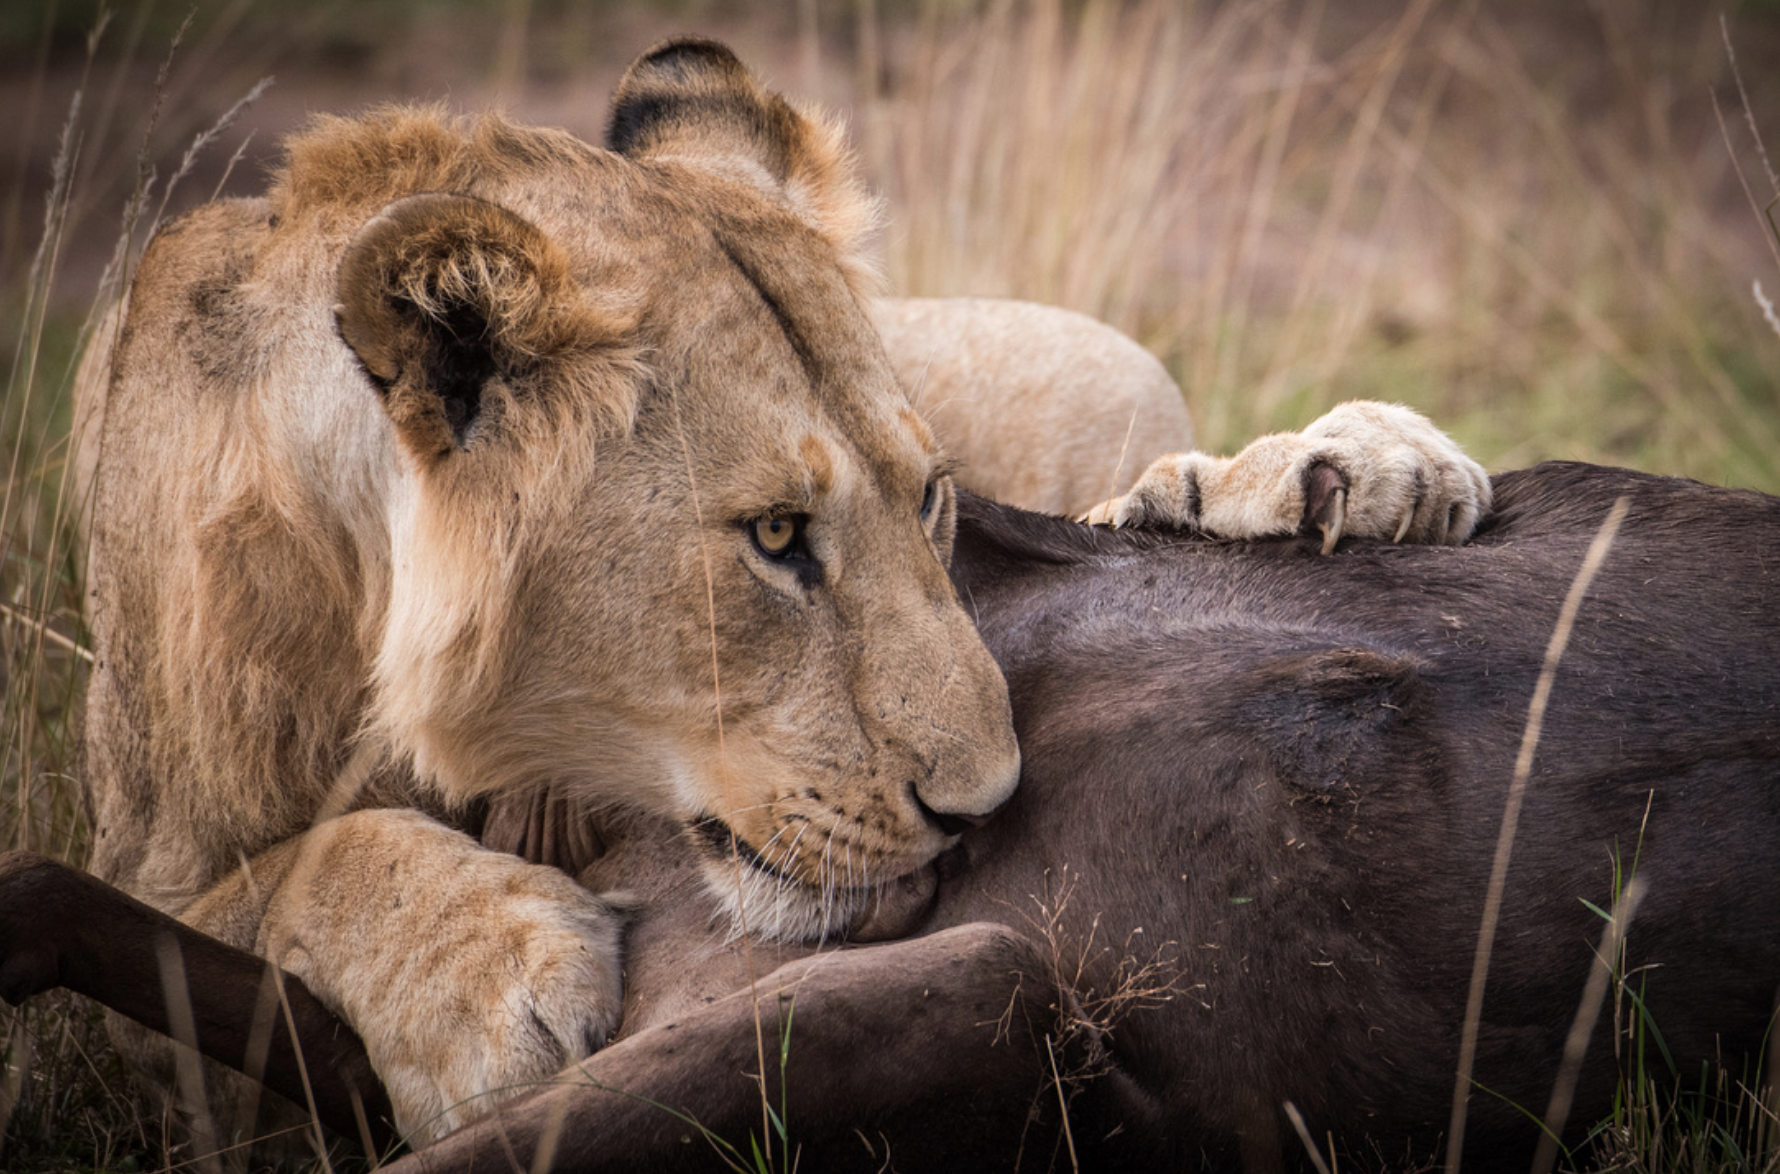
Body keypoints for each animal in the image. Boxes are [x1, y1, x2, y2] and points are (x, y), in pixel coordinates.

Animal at [69, 38, 1488, 1145]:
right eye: (772, 534)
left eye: (929, 494)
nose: (986, 807)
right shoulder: (149, 906)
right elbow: (277, 878)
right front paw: (484, 974)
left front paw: (1316, 467)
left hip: (1098, 355)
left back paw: (1328, 467)